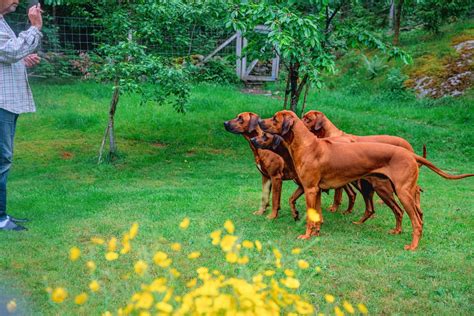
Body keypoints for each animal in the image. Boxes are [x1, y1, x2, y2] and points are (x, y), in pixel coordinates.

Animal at [256, 110, 474, 251]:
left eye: (274, 119)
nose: (259, 122)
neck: (308, 145)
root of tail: (410, 154)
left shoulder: (309, 189)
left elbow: (310, 218)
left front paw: (306, 236)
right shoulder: (315, 190)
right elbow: (316, 215)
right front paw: (316, 234)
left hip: (402, 191)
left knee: (416, 220)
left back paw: (412, 246)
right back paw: (397, 231)